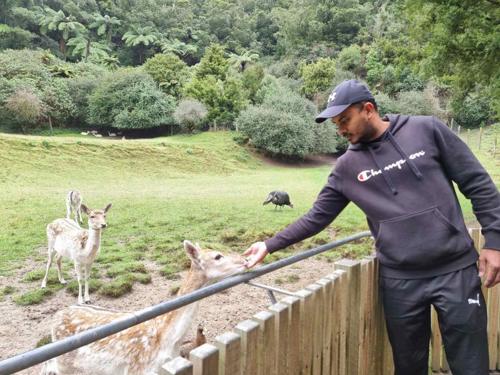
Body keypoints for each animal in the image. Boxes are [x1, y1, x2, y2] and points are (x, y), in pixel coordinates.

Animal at [41, 241, 246, 375]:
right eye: (217, 256)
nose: (244, 260)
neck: (169, 342)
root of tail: (56, 316)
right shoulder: (136, 369)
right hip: (65, 364)